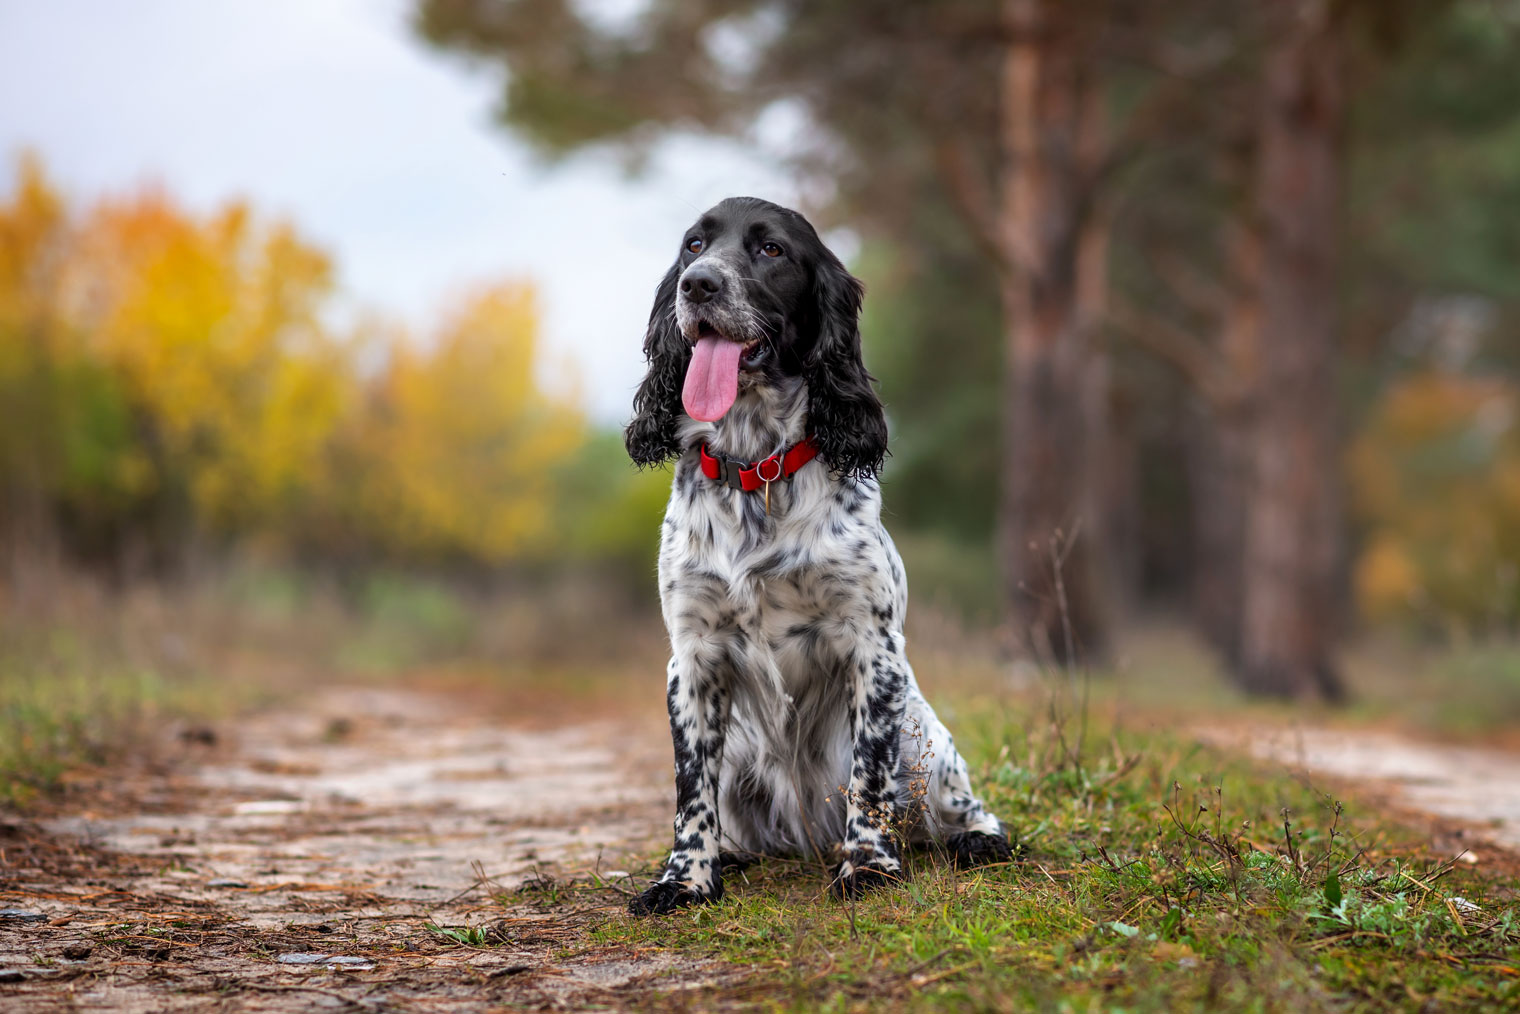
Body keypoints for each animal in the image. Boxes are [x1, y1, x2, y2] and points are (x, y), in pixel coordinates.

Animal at [623, 194, 1015, 918]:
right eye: (694, 245)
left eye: (771, 249)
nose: (698, 286)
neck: (758, 469)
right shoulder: (692, 657)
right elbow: (690, 789)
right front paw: (684, 880)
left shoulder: (872, 646)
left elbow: (868, 774)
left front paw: (868, 867)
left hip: (926, 742)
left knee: (959, 805)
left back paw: (974, 839)